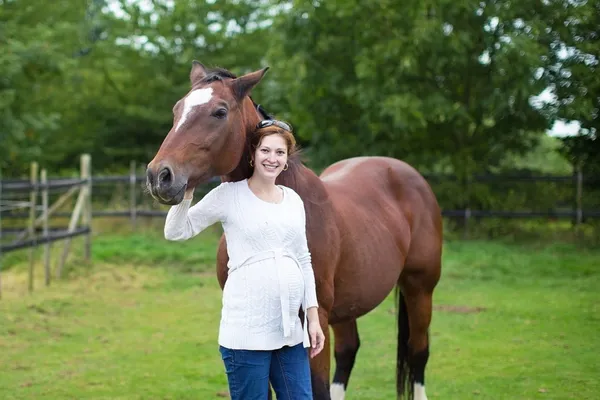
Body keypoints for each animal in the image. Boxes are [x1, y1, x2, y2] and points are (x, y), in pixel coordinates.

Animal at [147, 62, 442, 400]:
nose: (159, 176)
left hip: (419, 289)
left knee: (418, 352)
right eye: (177, 109)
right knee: (348, 351)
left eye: (219, 112)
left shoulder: (315, 320)